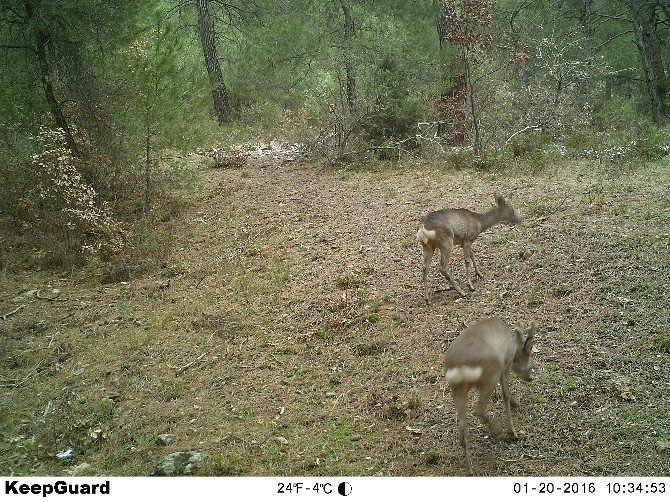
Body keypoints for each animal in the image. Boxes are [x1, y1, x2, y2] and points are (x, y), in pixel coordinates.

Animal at [444, 318, 540, 474]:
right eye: (530, 361)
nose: (531, 378)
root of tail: (461, 366)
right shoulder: (506, 364)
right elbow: (505, 393)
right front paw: (512, 431)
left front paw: (516, 404)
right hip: (492, 373)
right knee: (479, 409)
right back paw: (499, 433)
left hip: (457, 389)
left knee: (462, 428)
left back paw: (470, 470)